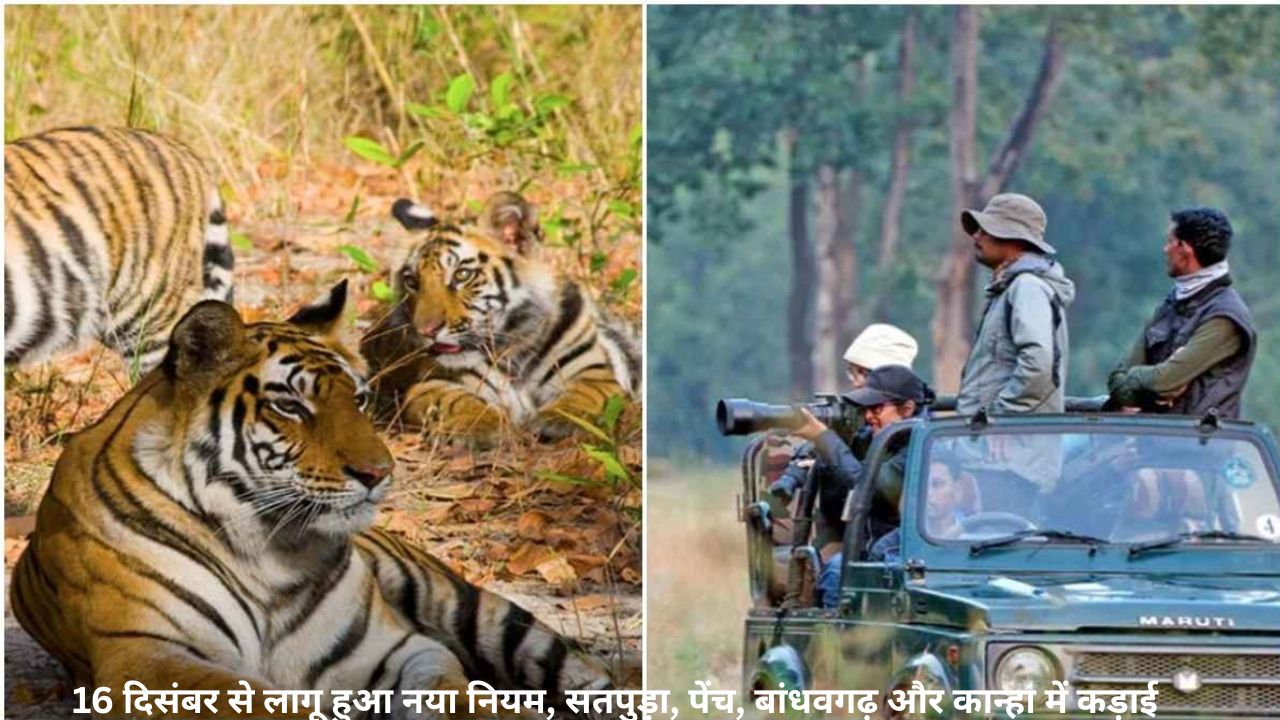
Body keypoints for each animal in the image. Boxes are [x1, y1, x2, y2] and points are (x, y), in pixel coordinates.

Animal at [10, 280, 613, 719]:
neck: (267, 550)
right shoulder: (151, 657)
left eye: (360, 400)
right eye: (291, 407)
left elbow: (458, 694)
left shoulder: (395, 650)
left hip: (476, 608)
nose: (379, 472)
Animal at [359, 196, 641, 440]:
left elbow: (585, 394)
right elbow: (455, 401)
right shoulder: (430, 383)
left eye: (462, 275)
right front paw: (481, 425)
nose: (425, 331)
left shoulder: (593, 371)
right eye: (412, 282)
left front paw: (559, 419)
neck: (515, 345)